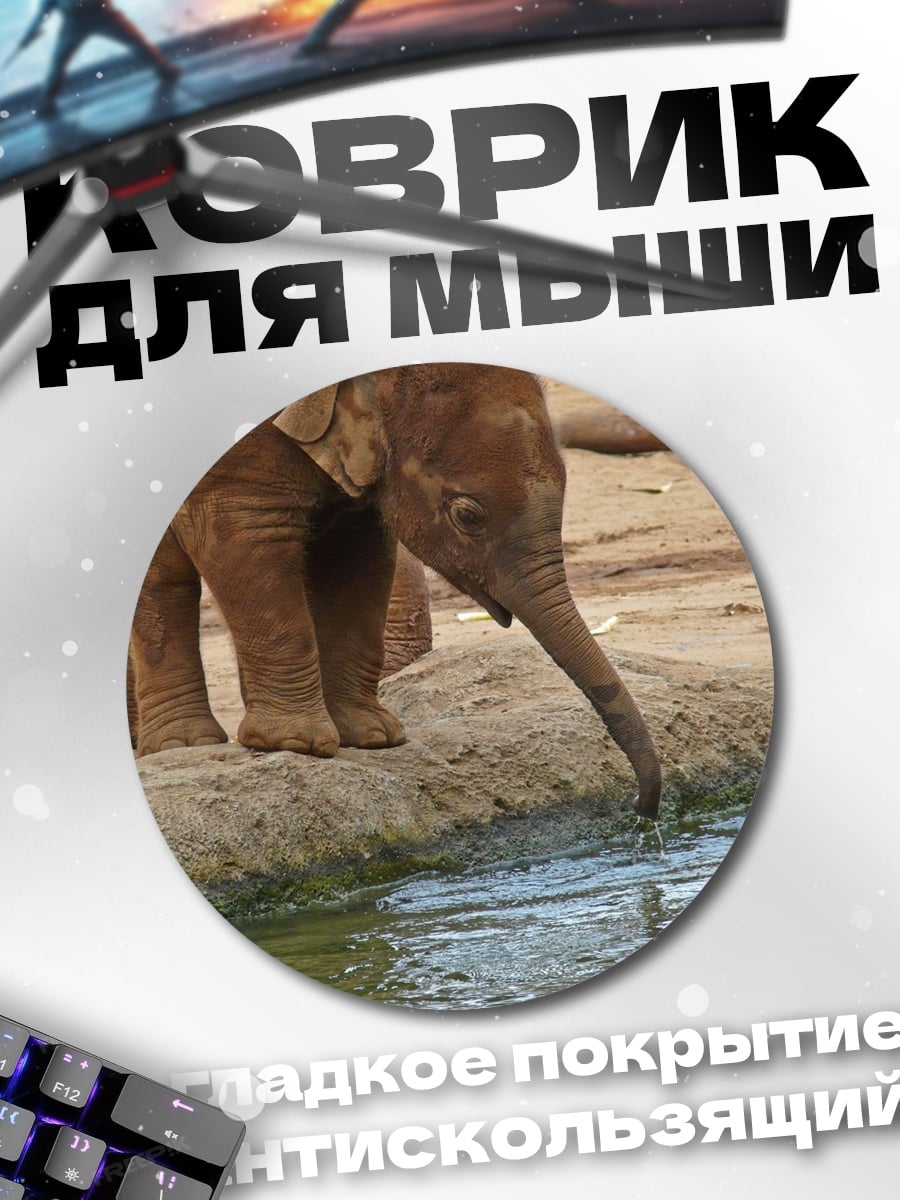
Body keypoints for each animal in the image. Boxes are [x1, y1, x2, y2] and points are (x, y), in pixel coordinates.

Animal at [128, 364, 662, 819]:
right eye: (467, 516)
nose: (641, 809)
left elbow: (357, 559)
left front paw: (372, 738)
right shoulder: (238, 469)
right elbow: (248, 543)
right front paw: (298, 746)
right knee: (164, 581)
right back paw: (185, 746)